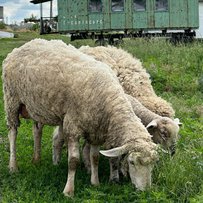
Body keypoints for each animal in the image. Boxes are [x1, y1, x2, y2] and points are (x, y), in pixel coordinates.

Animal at [2, 38, 159, 197]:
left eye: (153, 163)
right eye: (132, 162)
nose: (145, 191)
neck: (109, 99)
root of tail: (25, 45)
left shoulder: (96, 130)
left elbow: (95, 158)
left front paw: (95, 182)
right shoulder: (73, 127)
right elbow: (73, 161)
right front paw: (68, 191)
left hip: (35, 106)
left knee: (37, 130)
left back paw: (36, 159)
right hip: (11, 99)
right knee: (13, 132)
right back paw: (13, 166)